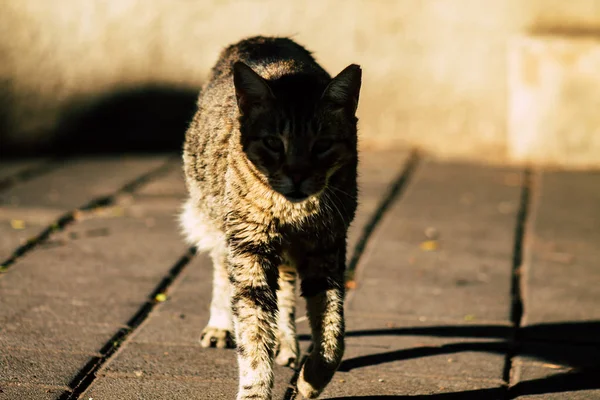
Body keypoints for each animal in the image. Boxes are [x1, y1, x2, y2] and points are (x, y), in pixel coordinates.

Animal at [179, 36, 360, 398]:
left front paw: (311, 380)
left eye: (322, 145)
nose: (297, 175)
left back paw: (287, 344)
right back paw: (220, 326)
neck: (294, 211)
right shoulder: (248, 247)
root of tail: (261, 39)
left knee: (287, 290)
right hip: (216, 219)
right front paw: (255, 390)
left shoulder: (328, 247)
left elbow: (332, 333)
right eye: (273, 143)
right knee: (221, 270)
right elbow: (253, 329)